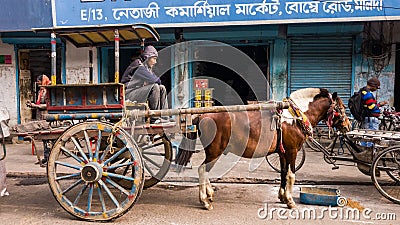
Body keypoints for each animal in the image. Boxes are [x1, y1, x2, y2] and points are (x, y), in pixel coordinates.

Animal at [178, 87, 350, 209]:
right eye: (341, 108)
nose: (348, 126)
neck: (296, 116)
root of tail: (203, 115)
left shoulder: (282, 153)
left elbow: (283, 174)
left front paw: (282, 197)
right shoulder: (292, 151)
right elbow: (291, 175)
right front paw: (290, 201)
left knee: (205, 172)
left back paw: (210, 195)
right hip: (215, 151)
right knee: (202, 170)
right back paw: (205, 201)